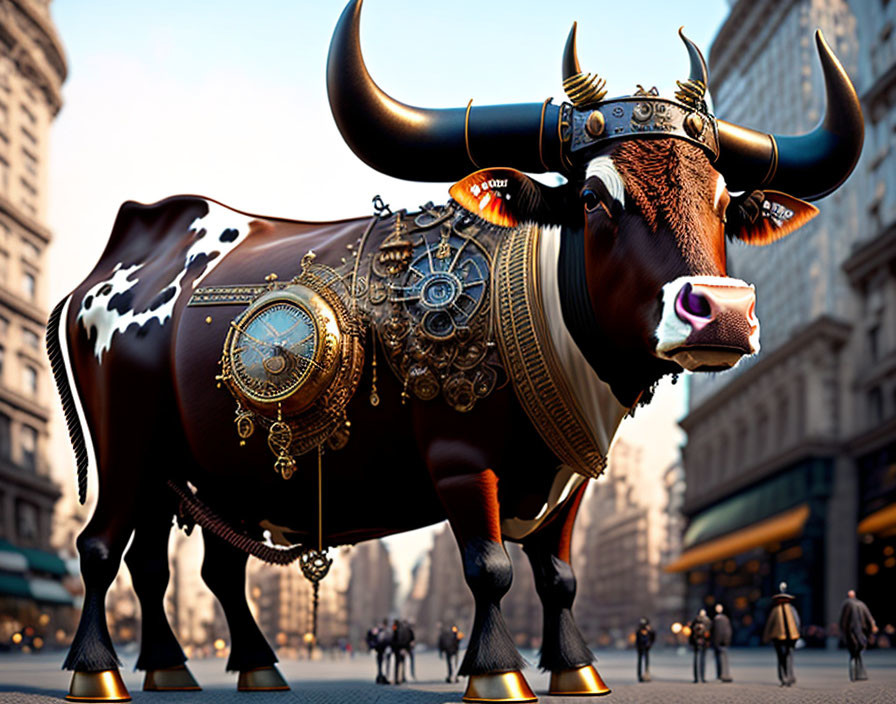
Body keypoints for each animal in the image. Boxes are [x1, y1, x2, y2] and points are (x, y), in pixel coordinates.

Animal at [49, 2, 860, 700]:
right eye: (594, 197)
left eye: (724, 202)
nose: (721, 312)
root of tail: (119, 257)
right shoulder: (463, 462)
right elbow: (490, 568)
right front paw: (497, 672)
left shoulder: (570, 476)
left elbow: (558, 576)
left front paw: (575, 670)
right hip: (129, 450)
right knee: (102, 549)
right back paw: (101, 671)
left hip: (202, 475)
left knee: (187, 568)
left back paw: (221, 667)